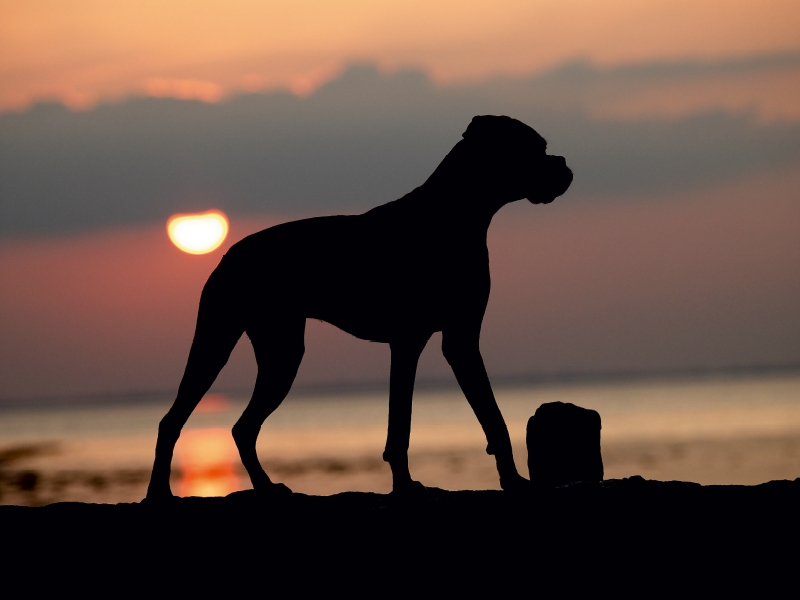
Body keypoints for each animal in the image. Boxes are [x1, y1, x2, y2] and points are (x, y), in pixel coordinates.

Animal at [147, 115, 572, 500]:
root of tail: (227, 255)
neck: (454, 215)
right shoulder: (420, 343)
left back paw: (266, 487)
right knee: (174, 421)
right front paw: (407, 486)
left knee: (241, 427)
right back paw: (159, 493)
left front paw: (511, 480)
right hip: (220, 345)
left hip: (279, 353)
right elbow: (410, 424)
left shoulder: (457, 339)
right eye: (533, 149)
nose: (565, 165)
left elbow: (485, 417)